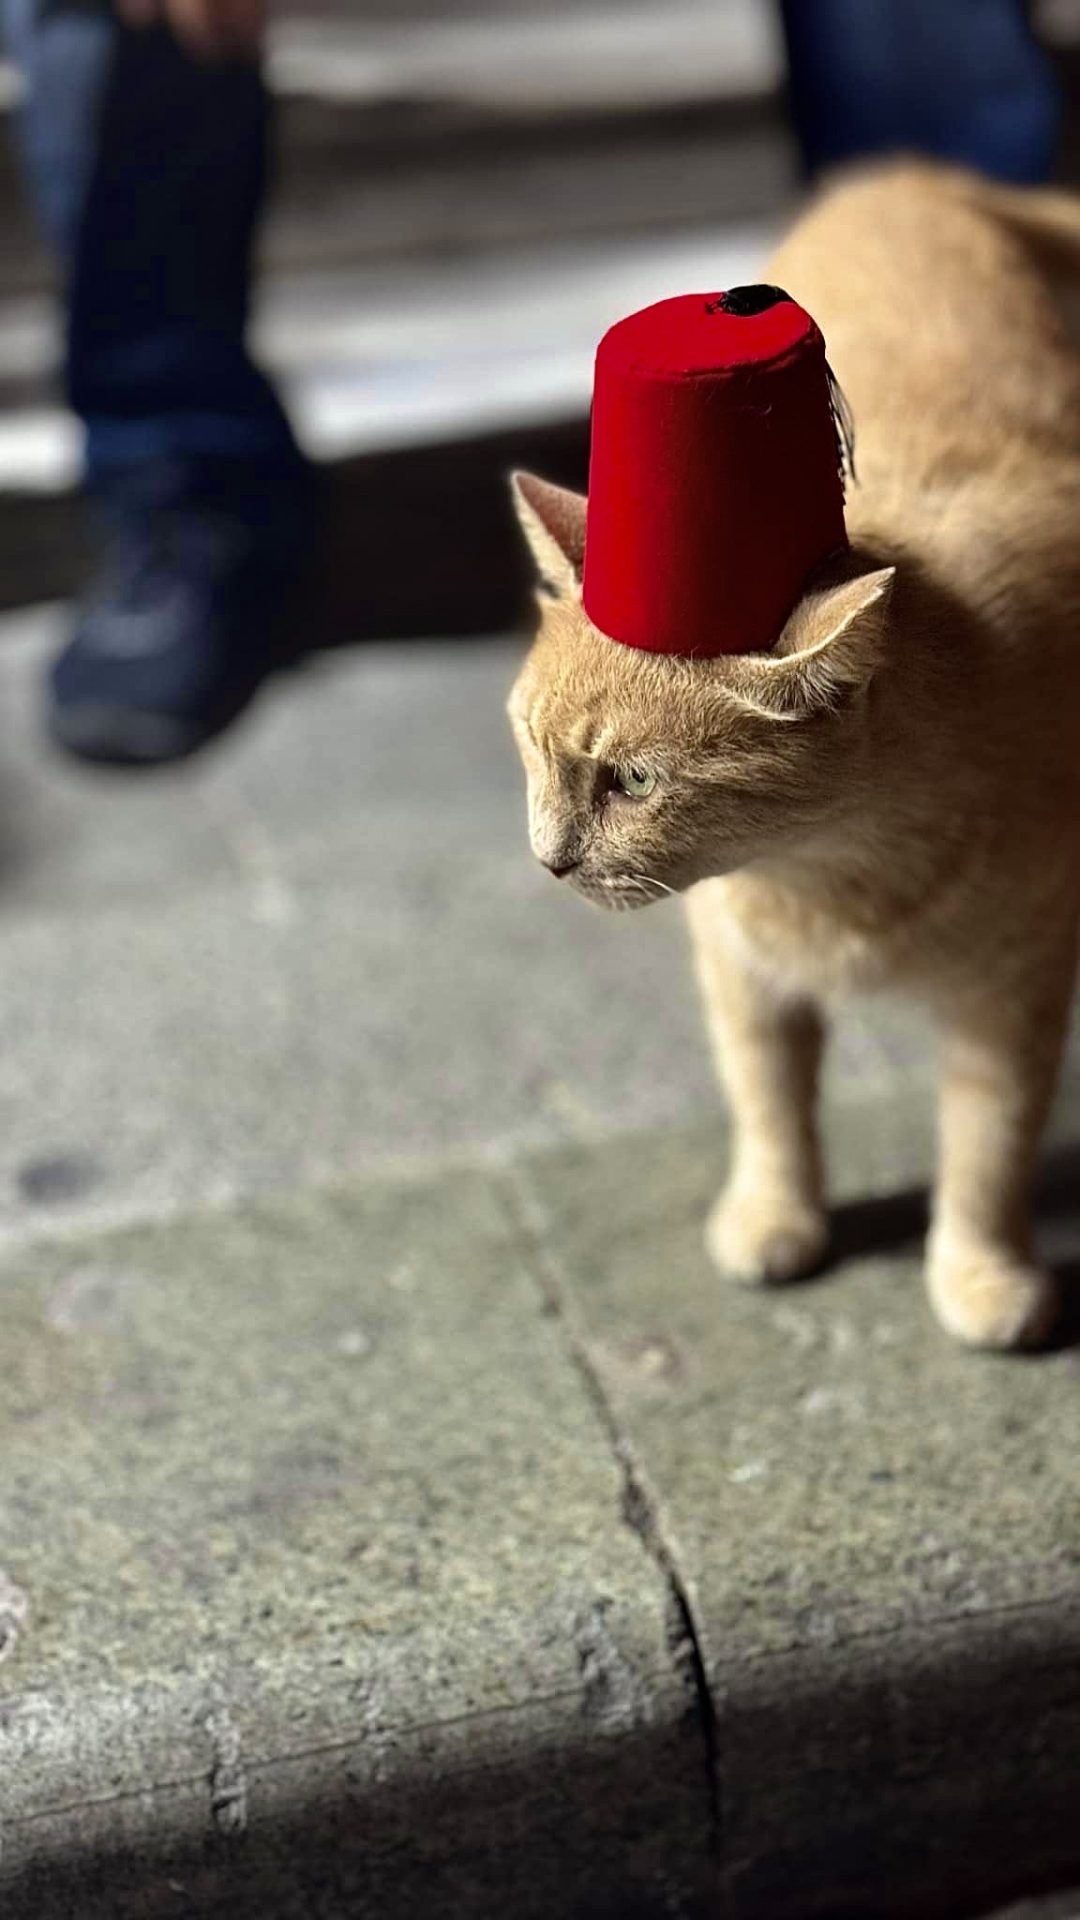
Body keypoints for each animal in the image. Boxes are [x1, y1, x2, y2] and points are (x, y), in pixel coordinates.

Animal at [507, 161, 1080, 1351]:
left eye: (635, 781)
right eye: (531, 747)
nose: (548, 860)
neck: (832, 878)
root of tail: (913, 173)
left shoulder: (1019, 989)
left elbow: (989, 1148)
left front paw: (982, 1273)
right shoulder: (739, 967)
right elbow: (768, 1102)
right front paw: (775, 1216)